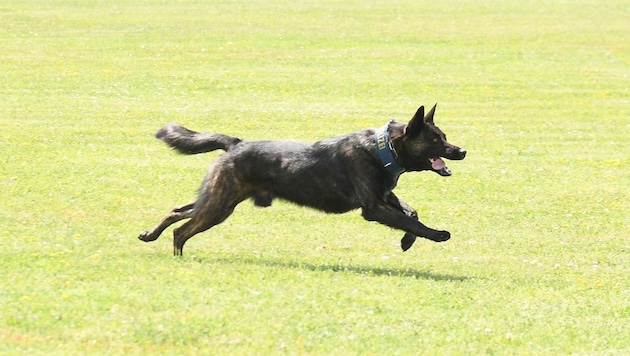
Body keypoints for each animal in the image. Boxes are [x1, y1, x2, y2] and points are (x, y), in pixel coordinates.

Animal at [142, 103, 470, 256]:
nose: (463, 151)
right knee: (182, 230)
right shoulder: (374, 208)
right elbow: (408, 219)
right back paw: (179, 258)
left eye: (444, 136)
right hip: (219, 204)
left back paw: (150, 235)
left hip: (218, 198)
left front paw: (407, 241)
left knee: (178, 211)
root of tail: (236, 144)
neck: (383, 149)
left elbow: (411, 212)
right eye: (436, 140)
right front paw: (436, 234)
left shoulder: (385, 197)